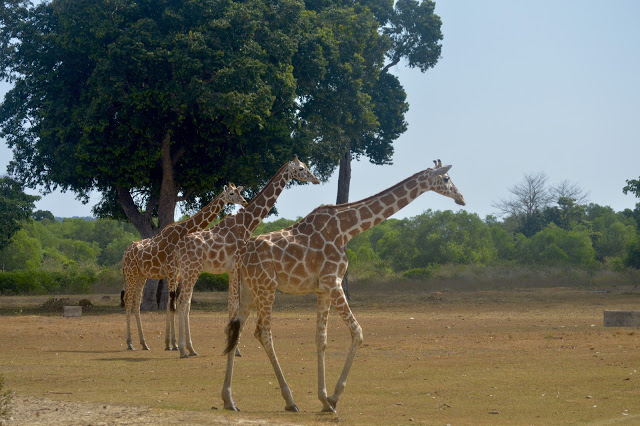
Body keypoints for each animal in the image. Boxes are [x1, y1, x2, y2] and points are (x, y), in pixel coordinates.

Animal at [122, 183, 248, 350]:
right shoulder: (171, 271)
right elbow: (172, 304)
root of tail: (124, 254)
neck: (183, 231)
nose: (244, 201)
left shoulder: (177, 273)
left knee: (136, 302)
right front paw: (172, 343)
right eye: (232, 193)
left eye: (239, 192)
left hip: (141, 275)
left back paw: (144, 343)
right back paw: (130, 343)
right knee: (128, 300)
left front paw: (172, 343)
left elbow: (173, 303)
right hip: (131, 273)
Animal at [171, 155, 320, 358]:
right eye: (302, 168)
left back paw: (191, 349)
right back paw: (183, 350)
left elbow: (232, 304)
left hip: (187, 271)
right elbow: (235, 304)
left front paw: (233, 345)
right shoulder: (237, 265)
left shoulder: (234, 269)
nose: (316, 179)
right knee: (182, 301)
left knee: (184, 303)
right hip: (191, 269)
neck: (247, 223)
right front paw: (235, 348)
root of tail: (178, 248)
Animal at [221, 161, 464, 412]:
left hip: (249, 290)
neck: (347, 229)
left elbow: (321, 339)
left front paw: (324, 399)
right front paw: (335, 396)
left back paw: (229, 400)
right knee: (263, 332)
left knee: (235, 329)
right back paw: (289, 400)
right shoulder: (333, 283)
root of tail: (241, 256)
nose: (461, 198)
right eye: (446, 179)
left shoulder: (323, 290)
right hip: (266, 287)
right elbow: (357, 332)